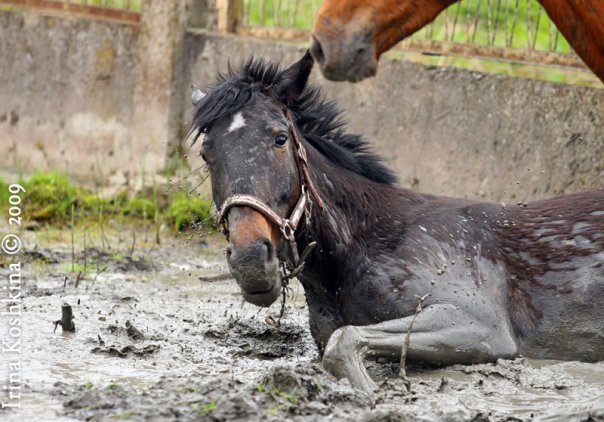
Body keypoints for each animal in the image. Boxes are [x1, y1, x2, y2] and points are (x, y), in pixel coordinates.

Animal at [189, 52, 604, 392]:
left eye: (279, 139)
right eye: (207, 154)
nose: (250, 261)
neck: (367, 243)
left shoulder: (480, 324)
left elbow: (344, 342)